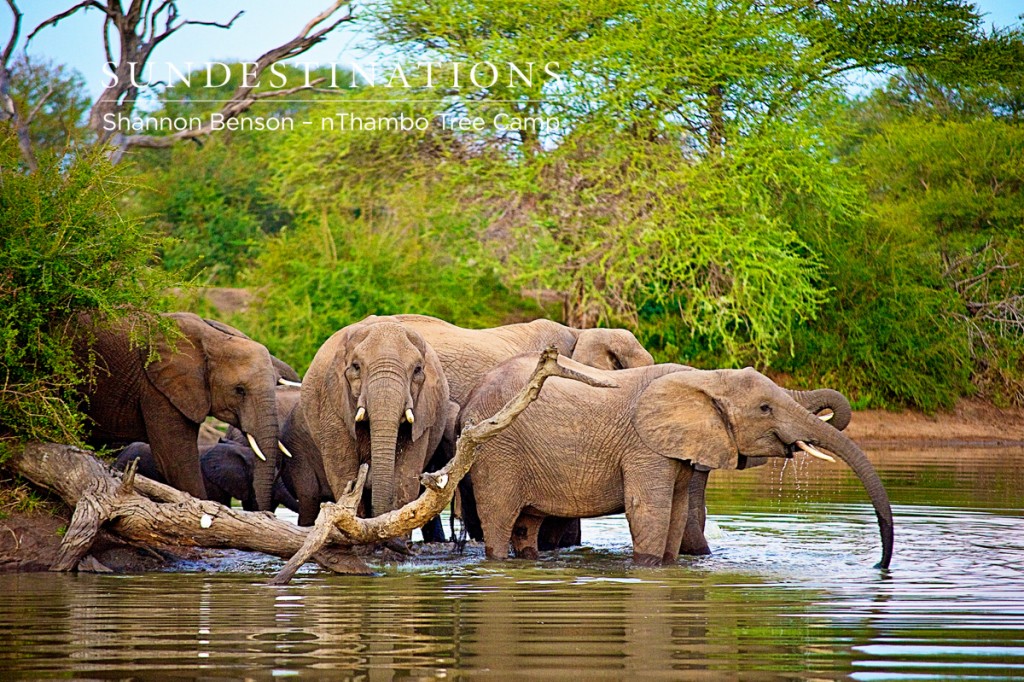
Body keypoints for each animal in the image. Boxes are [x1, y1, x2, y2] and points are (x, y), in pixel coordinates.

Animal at [299, 315, 454, 522]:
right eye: (356, 367)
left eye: (417, 370)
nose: (371, 475)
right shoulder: (332, 401)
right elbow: (344, 472)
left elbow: (405, 475)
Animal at [460, 356, 892, 569]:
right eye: (765, 408)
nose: (880, 565)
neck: (706, 378)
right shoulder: (644, 447)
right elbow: (648, 510)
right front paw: (649, 569)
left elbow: (678, 510)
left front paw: (670, 567)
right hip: (497, 449)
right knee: (500, 519)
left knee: (527, 525)